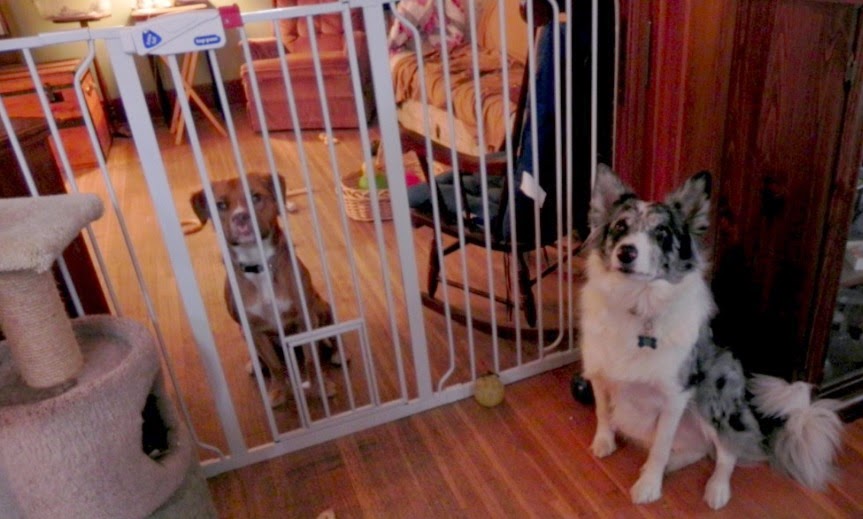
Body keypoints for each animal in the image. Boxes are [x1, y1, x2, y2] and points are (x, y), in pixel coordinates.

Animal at [190, 173, 341, 408]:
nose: (241, 217)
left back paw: (338, 354)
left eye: (256, 197)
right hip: (244, 332)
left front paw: (321, 387)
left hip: (322, 308)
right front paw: (278, 391)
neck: (258, 262)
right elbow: (275, 366)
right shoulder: (255, 330)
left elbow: (310, 360)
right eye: (221, 205)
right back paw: (255, 365)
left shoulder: (305, 319)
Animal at [578, 165, 843, 509]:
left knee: (727, 451)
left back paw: (716, 489)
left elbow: (661, 446)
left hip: (714, 393)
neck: (637, 304)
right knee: (698, 450)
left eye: (662, 233)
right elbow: (602, 412)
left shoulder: (675, 396)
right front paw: (604, 442)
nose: (626, 253)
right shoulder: (598, 373)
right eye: (620, 227)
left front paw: (649, 486)